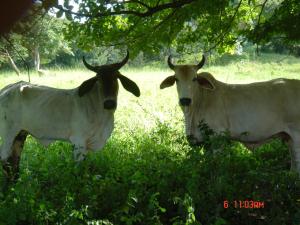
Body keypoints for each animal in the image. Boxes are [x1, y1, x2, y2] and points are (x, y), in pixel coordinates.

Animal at [161, 55, 300, 174]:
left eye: (194, 78)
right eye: (176, 79)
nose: (185, 100)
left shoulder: (217, 137)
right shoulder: (204, 142)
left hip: (296, 135)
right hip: (289, 138)